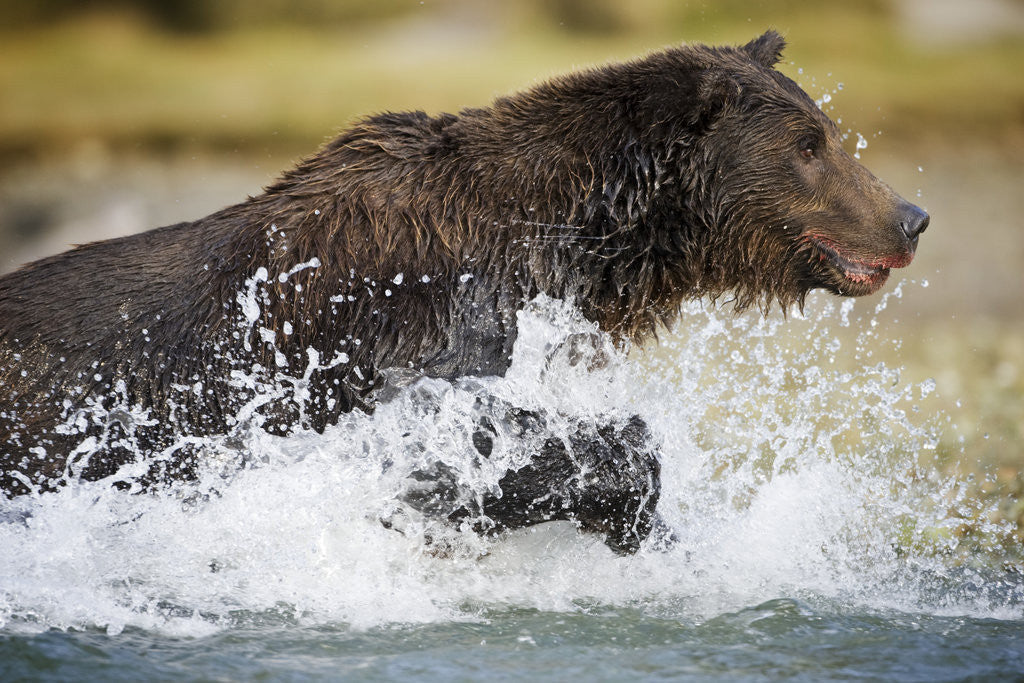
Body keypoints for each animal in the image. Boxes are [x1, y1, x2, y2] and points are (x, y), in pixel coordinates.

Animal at [0, 32, 927, 553]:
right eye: (808, 146)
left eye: (828, 132)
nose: (912, 215)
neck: (561, 236)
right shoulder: (418, 329)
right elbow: (458, 448)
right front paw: (633, 504)